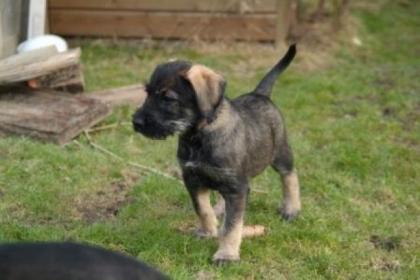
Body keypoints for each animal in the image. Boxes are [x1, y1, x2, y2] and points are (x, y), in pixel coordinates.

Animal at [133, 44, 300, 264]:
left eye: (168, 99)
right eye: (147, 93)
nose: (136, 122)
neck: (197, 136)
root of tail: (260, 94)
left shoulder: (236, 187)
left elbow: (232, 226)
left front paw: (226, 254)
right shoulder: (193, 179)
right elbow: (202, 209)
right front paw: (208, 230)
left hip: (280, 152)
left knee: (289, 176)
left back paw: (291, 208)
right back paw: (220, 209)